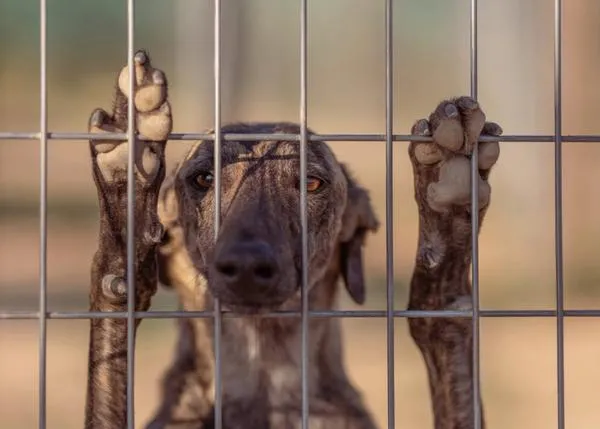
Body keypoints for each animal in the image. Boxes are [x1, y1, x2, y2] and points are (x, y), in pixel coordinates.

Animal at [84, 50, 504, 428]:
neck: (265, 381)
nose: (247, 266)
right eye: (203, 178)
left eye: (312, 182)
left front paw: (448, 213)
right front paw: (127, 176)